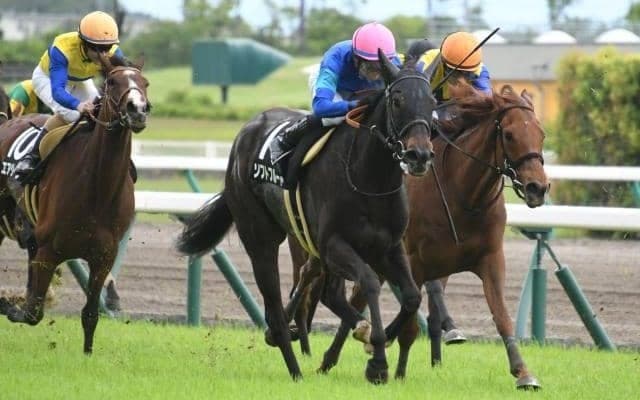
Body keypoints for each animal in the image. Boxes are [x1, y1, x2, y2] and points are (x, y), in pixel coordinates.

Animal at [0, 53, 150, 354]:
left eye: (145, 83)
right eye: (112, 82)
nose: (138, 110)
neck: (98, 189)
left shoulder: (103, 257)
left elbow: (90, 314)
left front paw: (88, 354)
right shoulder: (47, 250)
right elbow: (33, 311)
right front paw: (9, 306)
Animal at [177, 51, 440, 383]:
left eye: (432, 101)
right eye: (397, 100)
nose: (419, 156)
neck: (369, 180)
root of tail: (246, 132)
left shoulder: (389, 247)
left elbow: (411, 296)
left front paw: (378, 338)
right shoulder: (334, 244)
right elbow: (369, 282)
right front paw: (378, 361)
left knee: (325, 291)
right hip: (260, 236)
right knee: (277, 308)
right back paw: (294, 368)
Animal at [290, 82, 549, 389]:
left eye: (541, 133)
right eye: (509, 134)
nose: (537, 187)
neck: (463, 195)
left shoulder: (490, 258)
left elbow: (501, 316)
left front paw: (523, 373)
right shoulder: (414, 262)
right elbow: (410, 323)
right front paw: (397, 370)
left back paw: (333, 355)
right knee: (324, 283)